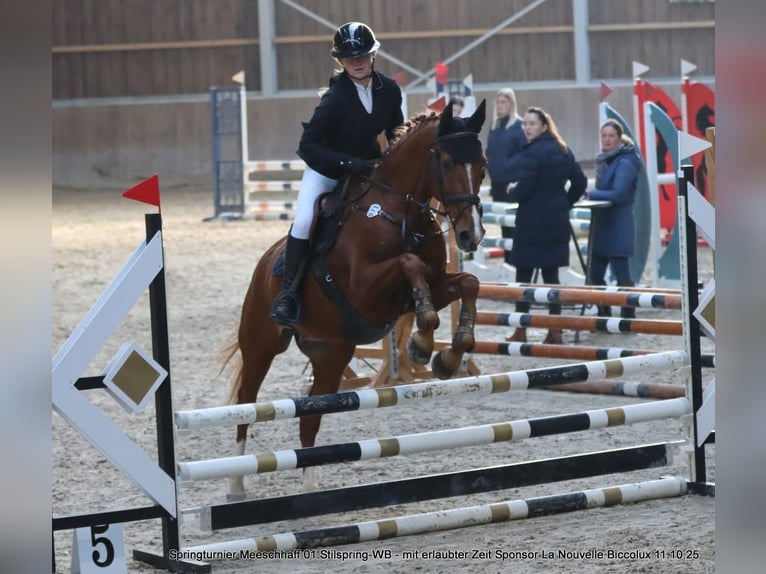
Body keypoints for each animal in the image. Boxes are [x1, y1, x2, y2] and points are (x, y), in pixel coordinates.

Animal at [222, 100, 487, 496]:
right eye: (447, 163)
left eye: (482, 162)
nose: (472, 235)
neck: (400, 210)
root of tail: (265, 263)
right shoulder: (366, 289)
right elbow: (409, 264)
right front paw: (421, 345)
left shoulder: (435, 284)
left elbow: (468, 283)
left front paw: (448, 356)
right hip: (260, 345)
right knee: (246, 401)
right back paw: (237, 484)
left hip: (330, 353)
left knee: (310, 416)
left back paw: (310, 489)